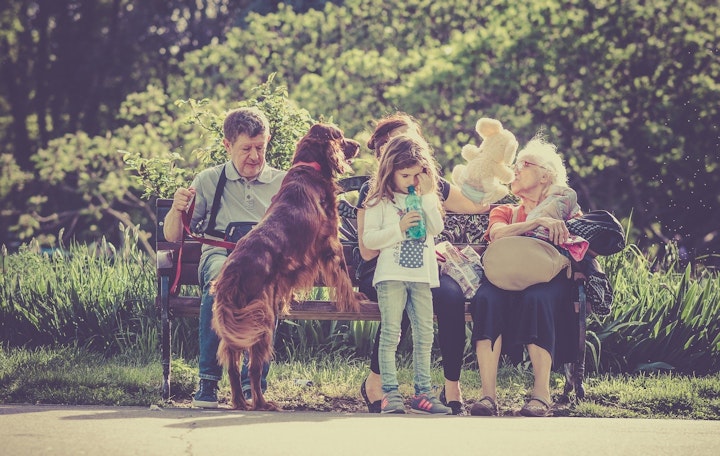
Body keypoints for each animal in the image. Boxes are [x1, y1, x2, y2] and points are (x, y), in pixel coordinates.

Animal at [211, 123, 362, 412]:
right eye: (339, 136)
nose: (359, 144)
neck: (309, 167)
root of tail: (232, 273)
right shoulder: (330, 241)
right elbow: (344, 275)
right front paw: (355, 300)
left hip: (241, 323)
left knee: (234, 366)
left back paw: (240, 402)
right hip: (262, 320)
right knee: (254, 368)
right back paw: (262, 403)